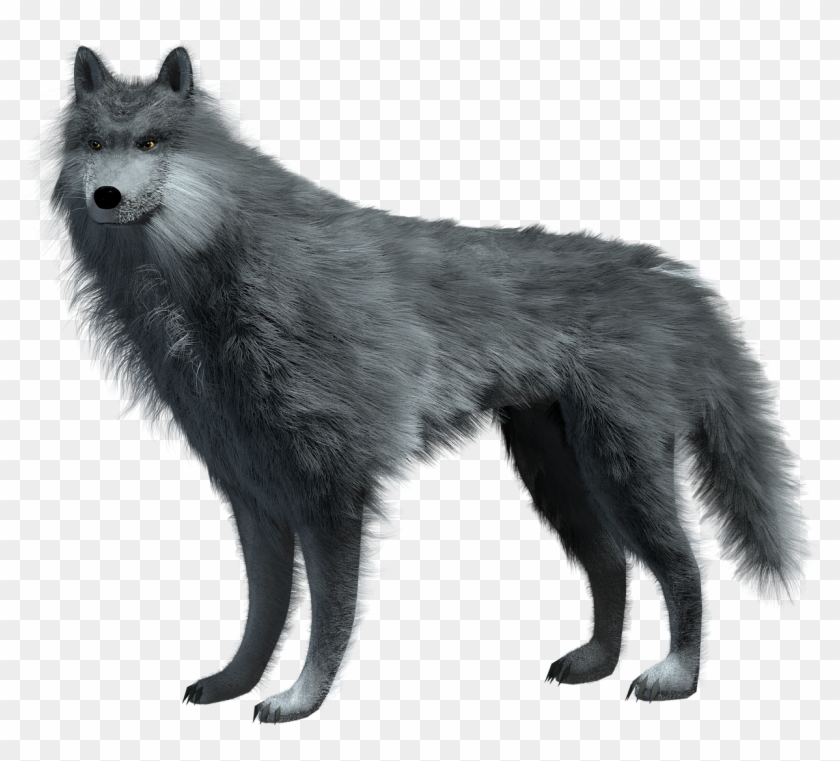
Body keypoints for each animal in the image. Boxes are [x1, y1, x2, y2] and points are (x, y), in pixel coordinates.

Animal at [50, 46, 806, 723]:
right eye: (96, 144)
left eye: (151, 142)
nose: (105, 196)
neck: (219, 272)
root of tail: (670, 279)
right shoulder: (252, 490)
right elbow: (264, 616)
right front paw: (235, 684)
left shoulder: (329, 489)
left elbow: (328, 617)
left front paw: (302, 700)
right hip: (557, 475)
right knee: (611, 565)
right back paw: (597, 662)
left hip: (618, 471)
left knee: (683, 570)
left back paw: (677, 677)